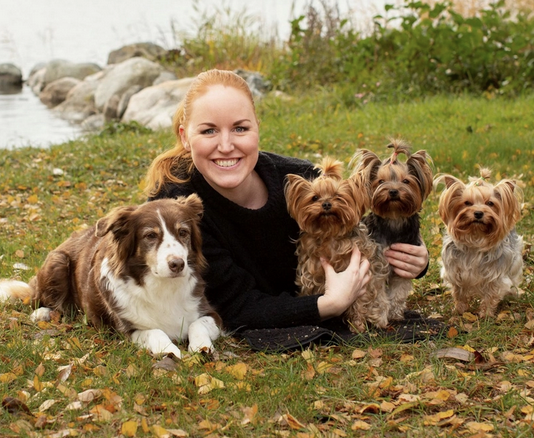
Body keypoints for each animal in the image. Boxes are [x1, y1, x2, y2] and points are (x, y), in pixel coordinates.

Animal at [0, 194, 221, 358]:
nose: (177, 264)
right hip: (58, 262)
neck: (163, 287)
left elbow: (197, 324)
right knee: (37, 298)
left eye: (183, 232)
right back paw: (43, 313)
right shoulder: (126, 330)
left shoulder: (211, 314)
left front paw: (201, 346)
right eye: (150, 236)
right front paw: (169, 350)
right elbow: (155, 331)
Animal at [285, 157, 390, 333]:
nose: (326, 204)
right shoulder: (311, 273)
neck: (330, 233)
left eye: (337, 196)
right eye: (314, 198)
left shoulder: (363, 275)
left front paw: (357, 325)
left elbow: (359, 300)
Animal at [350, 139, 433, 321]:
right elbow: (378, 291)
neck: (394, 217)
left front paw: (395, 313)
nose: (393, 191)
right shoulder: (377, 262)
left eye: (406, 181)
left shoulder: (404, 265)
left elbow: (399, 291)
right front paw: (380, 317)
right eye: (381, 181)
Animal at [434, 168, 524, 317]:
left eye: (490, 203)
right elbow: (459, 293)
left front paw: (486, 315)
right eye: (467, 203)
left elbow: (491, 296)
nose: (478, 213)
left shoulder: (495, 276)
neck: (475, 237)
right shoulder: (455, 272)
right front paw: (460, 310)